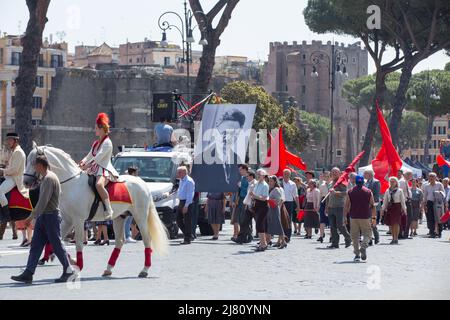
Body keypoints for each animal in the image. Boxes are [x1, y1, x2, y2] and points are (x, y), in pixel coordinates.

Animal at [23, 145, 167, 278]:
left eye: (34, 161)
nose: (26, 182)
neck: (72, 183)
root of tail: (142, 183)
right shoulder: (67, 220)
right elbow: (57, 241)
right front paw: (66, 258)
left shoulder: (78, 220)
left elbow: (78, 243)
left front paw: (78, 264)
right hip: (119, 218)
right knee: (120, 241)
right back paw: (108, 269)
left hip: (140, 217)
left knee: (147, 239)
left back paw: (144, 270)